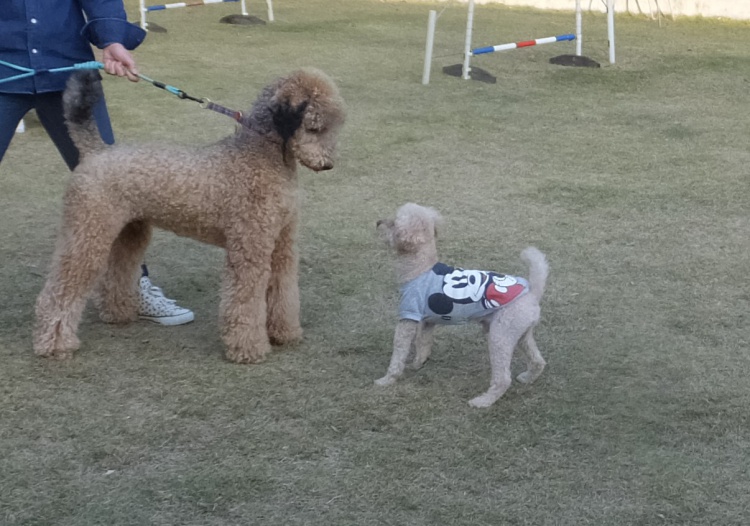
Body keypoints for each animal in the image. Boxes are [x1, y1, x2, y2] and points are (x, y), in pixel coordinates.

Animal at [33, 68, 346, 363]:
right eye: (314, 126)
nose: (328, 164)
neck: (259, 157)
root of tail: (96, 151)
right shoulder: (250, 249)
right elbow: (245, 302)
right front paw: (248, 349)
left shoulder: (282, 245)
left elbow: (283, 291)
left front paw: (285, 333)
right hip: (87, 234)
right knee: (59, 291)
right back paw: (54, 343)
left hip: (129, 233)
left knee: (117, 273)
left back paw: (118, 312)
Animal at [374, 203, 549, 408]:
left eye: (393, 223)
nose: (378, 222)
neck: (419, 269)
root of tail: (532, 293)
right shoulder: (427, 322)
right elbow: (422, 344)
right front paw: (418, 364)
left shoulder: (408, 318)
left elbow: (398, 353)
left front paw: (386, 380)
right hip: (520, 333)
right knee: (538, 360)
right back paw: (528, 378)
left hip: (500, 336)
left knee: (503, 379)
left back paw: (483, 401)